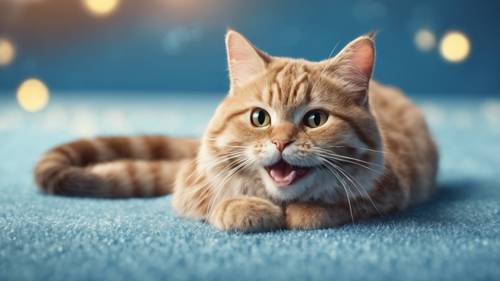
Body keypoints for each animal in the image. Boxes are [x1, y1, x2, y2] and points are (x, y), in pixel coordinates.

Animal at [34, 29, 438, 231]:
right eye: (260, 118)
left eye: (315, 120)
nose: (281, 141)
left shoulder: (394, 187)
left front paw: (306, 211)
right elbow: (216, 200)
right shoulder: (191, 186)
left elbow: (338, 205)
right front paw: (243, 208)